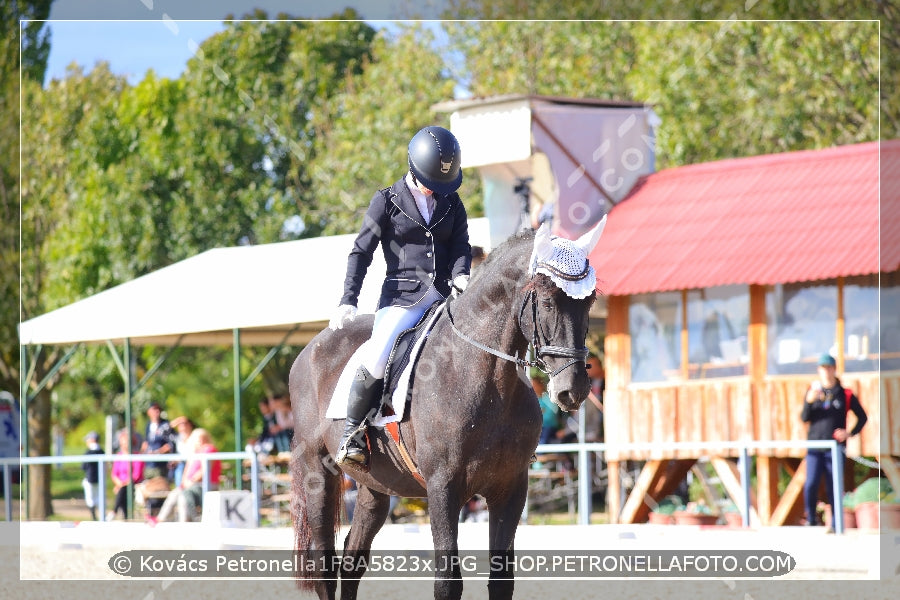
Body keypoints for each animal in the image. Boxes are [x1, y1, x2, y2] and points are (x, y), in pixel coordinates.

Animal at [292, 221, 604, 600]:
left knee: (352, 562)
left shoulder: (511, 488)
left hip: (375, 485)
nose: (573, 389)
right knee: (324, 565)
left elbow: (502, 581)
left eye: (591, 300)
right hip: (317, 472)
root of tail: (311, 347)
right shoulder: (443, 488)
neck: (486, 375)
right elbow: (448, 583)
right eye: (546, 300)